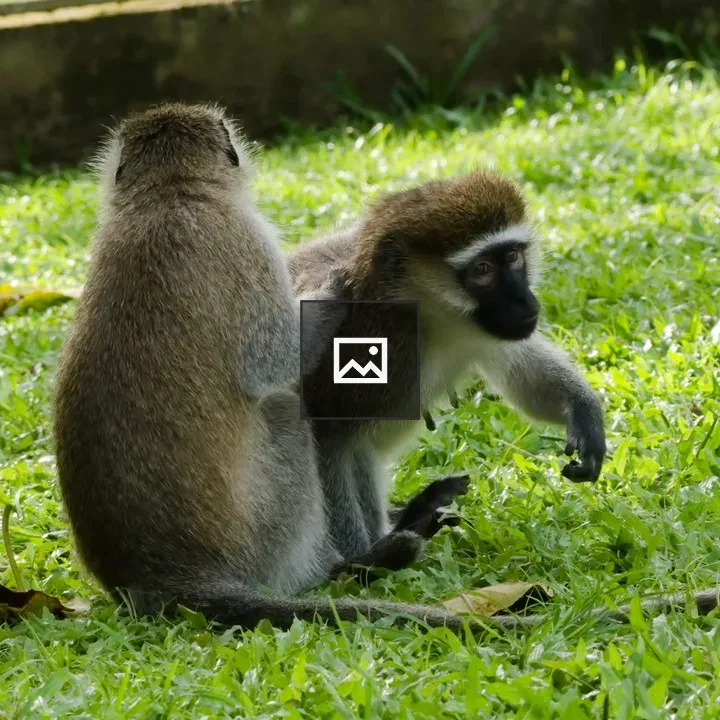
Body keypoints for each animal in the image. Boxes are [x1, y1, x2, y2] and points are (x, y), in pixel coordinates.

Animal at [52, 102, 480, 632]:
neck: (167, 194)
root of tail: (157, 576)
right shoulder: (249, 240)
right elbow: (273, 361)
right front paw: (335, 284)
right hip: (261, 535)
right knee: (285, 412)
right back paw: (351, 563)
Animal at [289, 171, 606, 572]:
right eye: (482, 271)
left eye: (513, 257)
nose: (525, 301)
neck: (426, 317)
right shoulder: (363, 338)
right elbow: (327, 434)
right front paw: (359, 563)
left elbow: (524, 373)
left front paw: (584, 412)